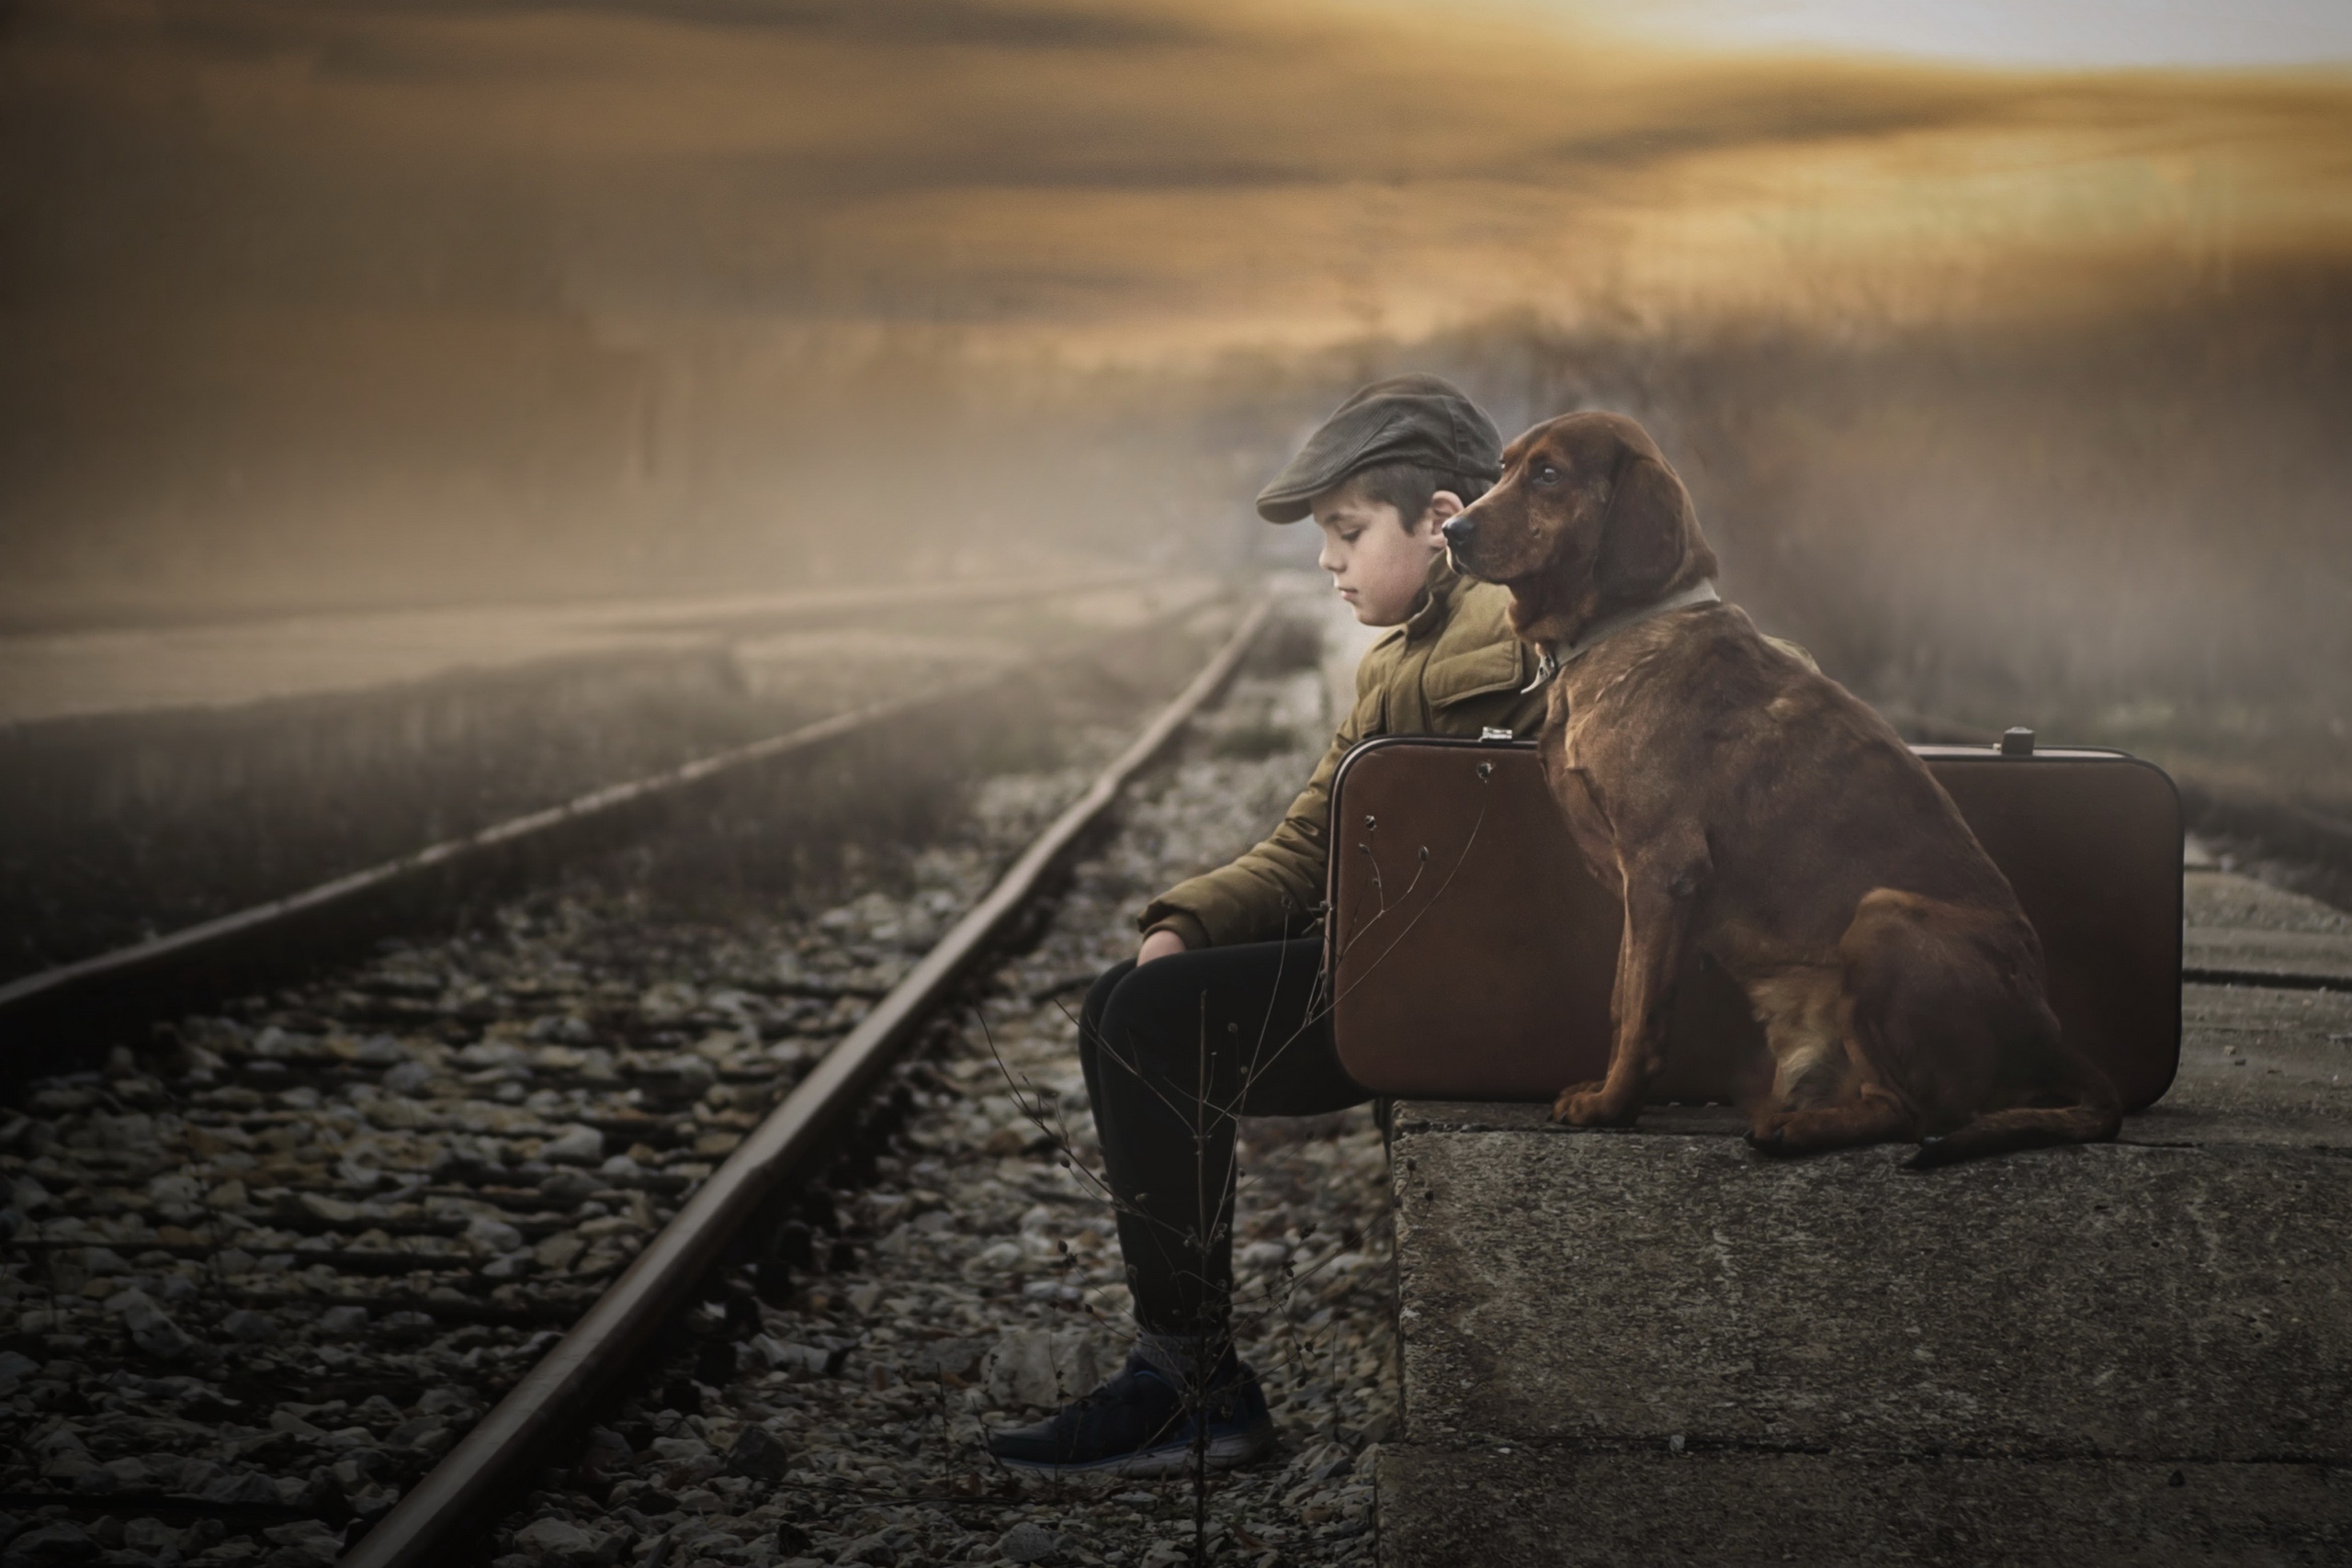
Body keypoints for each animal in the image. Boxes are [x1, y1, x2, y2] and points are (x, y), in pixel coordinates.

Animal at [1439, 411, 2126, 1170]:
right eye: (1504, 467)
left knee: (1915, 1112)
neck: (1624, 631)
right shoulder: (1636, 890)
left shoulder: (1662, 867)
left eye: (1549, 474)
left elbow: (1643, 1012)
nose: (1451, 531)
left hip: (1881, 918)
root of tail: (2048, 1034)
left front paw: (1612, 1107)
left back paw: (1799, 1130)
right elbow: (1622, 996)